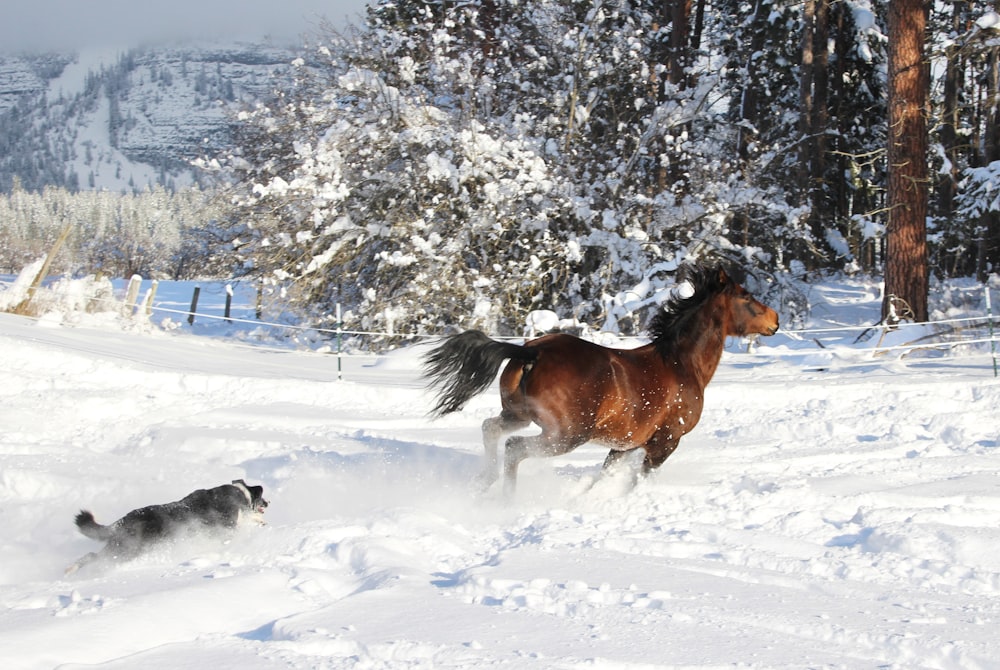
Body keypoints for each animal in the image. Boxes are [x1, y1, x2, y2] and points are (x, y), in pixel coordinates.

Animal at [66, 478, 270, 576]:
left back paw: (70, 571)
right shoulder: (226, 527)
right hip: (128, 550)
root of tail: (122, 521)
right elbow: (245, 521)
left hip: (120, 548)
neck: (238, 494)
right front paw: (259, 520)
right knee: (97, 558)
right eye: (261, 497)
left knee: (91, 556)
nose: (268, 503)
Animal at [422, 266, 780, 494]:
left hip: (520, 415)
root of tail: (531, 352)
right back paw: (505, 498)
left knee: (491, 429)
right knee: (514, 448)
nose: (775, 320)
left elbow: (602, 477)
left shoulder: (623, 445)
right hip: (565, 434)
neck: (680, 364)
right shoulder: (665, 443)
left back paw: (482, 483)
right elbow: (638, 482)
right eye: (747, 297)